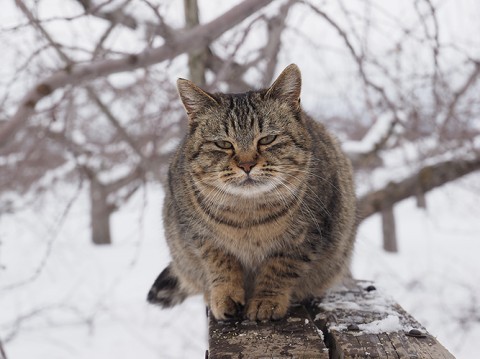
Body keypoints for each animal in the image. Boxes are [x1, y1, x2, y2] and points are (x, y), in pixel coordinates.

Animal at [146, 63, 356, 322]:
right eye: (224, 144)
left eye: (267, 139)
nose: (247, 165)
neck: (248, 217)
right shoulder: (200, 237)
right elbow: (221, 264)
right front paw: (225, 295)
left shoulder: (305, 238)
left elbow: (280, 269)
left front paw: (267, 301)